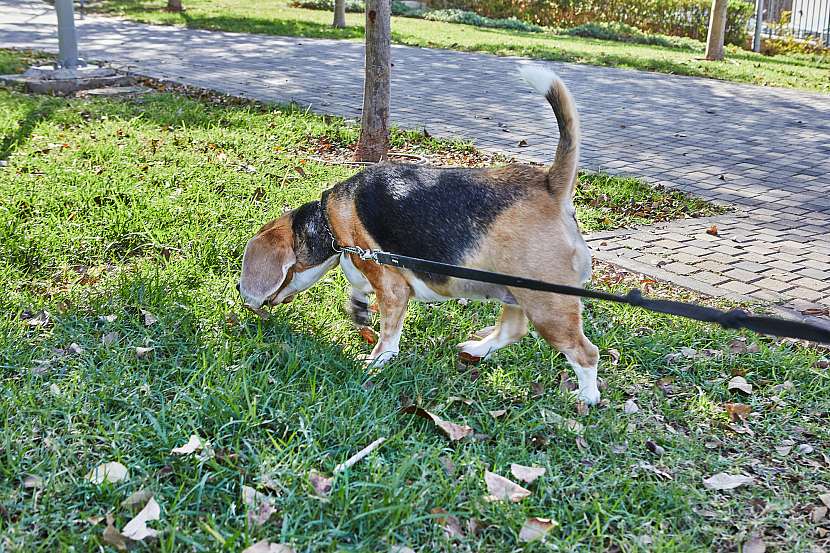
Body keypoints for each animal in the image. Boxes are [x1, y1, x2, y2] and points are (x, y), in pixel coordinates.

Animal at [237, 67, 600, 406]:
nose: (244, 296)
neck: (328, 218)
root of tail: (550, 185)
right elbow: (357, 286)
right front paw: (358, 307)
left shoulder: (392, 288)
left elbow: (387, 336)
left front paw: (374, 362)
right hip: (517, 294)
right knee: (513, 330)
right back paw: (477, 350)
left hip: (548, 306)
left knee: (585, 353)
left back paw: (587, 396)